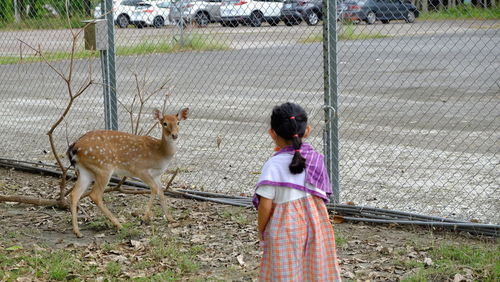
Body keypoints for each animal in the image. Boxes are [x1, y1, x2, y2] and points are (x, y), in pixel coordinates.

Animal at [67, 107, 188, 237]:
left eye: (178, 122)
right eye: (164, 123)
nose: (174, 135)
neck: (160, 154)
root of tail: (74, 147)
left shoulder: (157, 175)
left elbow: (161, 192)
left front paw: (171, 219)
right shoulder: (139, 169)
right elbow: (154, 189)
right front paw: (144, 219)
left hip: (86, 171)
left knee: (74, 194)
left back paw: (77, 231)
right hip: (103, 167)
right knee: (95, 195)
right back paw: (118, 224)